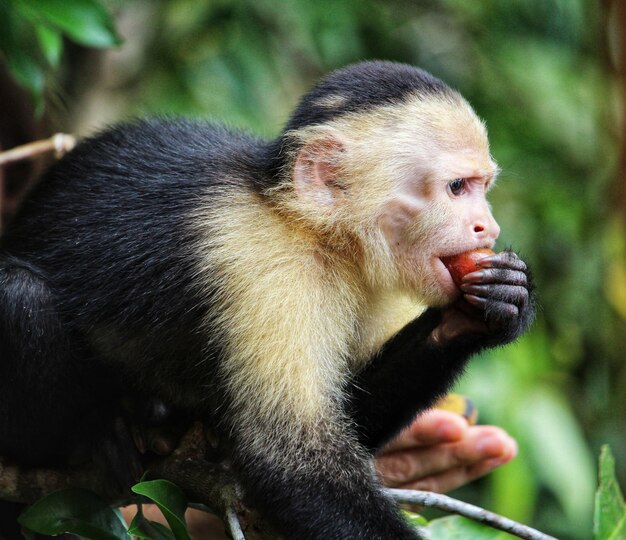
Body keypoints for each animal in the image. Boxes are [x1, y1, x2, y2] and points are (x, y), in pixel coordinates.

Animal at [0, 61, 532, 536]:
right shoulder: (266, 266)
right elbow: (294, 459)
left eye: (483, 187)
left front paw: (483, 313)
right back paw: (89, 439)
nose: (488, 227)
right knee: (20, 293)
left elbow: (355, 417)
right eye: (456, 188)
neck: (323, 234)